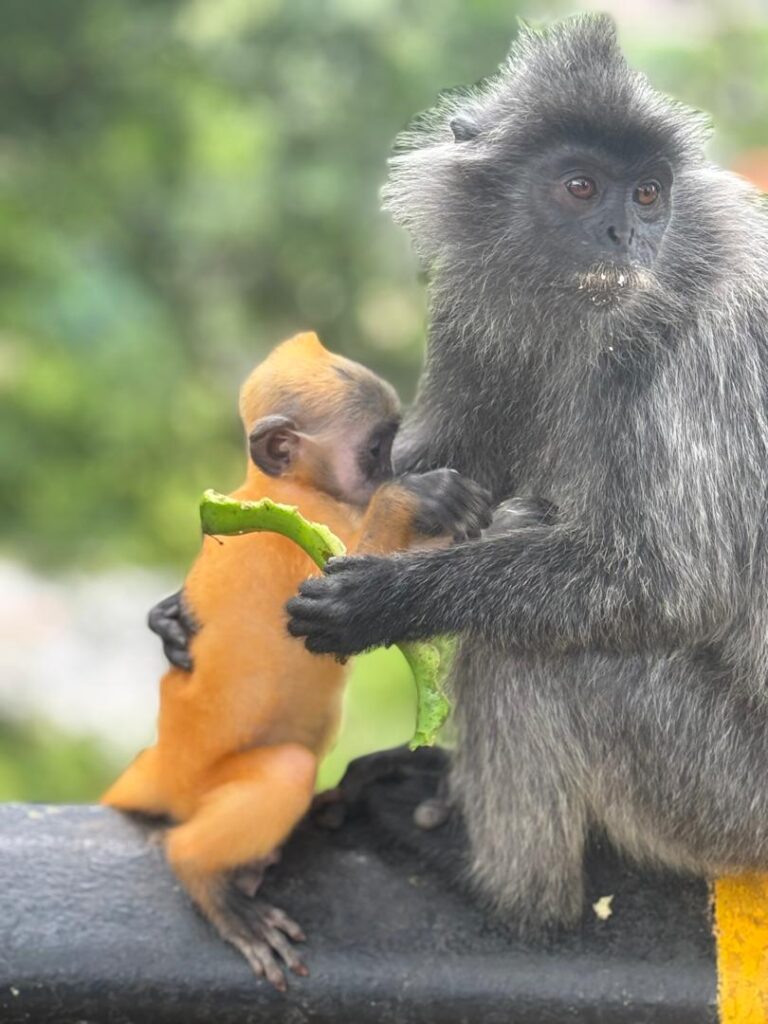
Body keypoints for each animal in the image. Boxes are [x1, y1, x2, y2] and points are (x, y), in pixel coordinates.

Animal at [102, 331, 489, 987]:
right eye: (376, 449)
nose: (391, 472)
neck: (292, 487)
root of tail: (161, 764)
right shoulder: (296, 530)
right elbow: (334, 608)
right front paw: (417, 498)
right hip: (195, 788)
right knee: (280, 771)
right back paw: (205, 877)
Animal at [286, 14, 768, 929]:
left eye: (647, 196)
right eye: (581, 188)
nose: (625, 237)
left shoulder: (691, 354)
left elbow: (667, 585)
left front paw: (386, 601)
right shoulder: (469, 303)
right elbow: (435, 466)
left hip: (720, 791)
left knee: (534, 651)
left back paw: (502, 886)